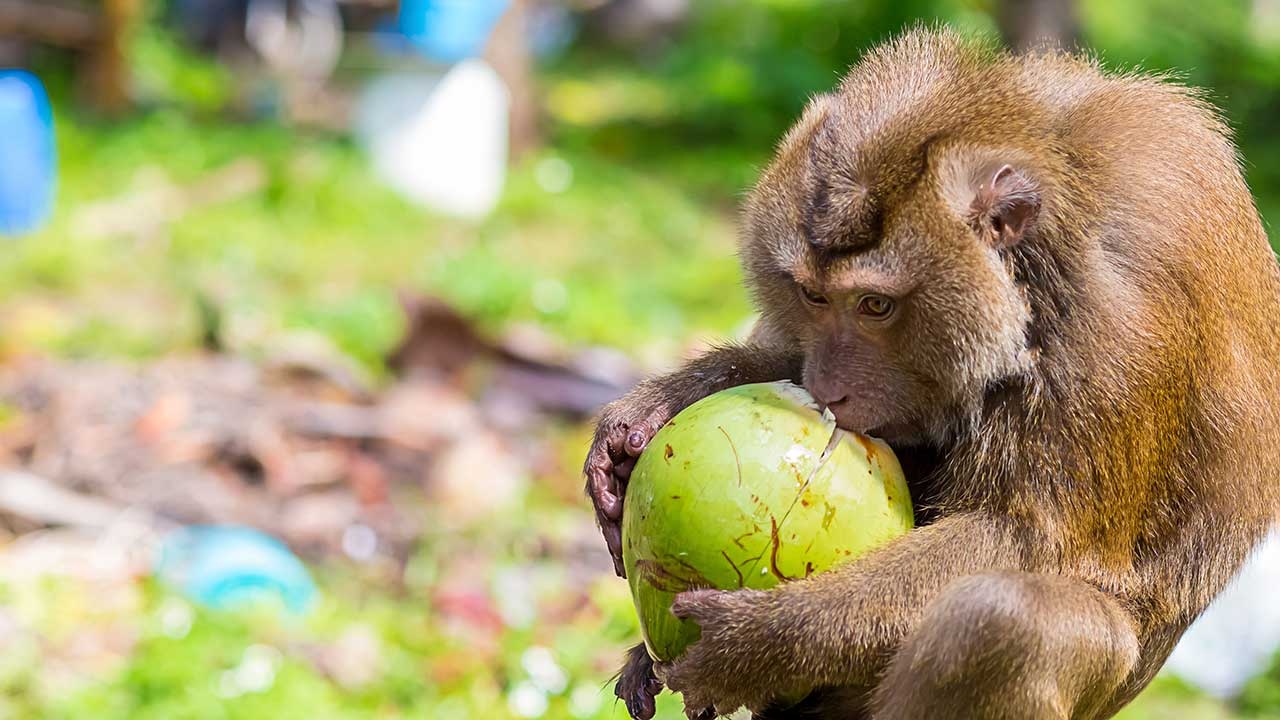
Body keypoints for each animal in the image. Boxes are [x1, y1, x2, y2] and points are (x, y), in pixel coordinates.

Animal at [586, 25, 1280, 712]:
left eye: (876, 305)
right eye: (813, 296)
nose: (828, 390)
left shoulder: (1117, 328)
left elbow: (1027, 544)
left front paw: (759, 638)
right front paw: (645, 418)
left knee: (1008, 621)